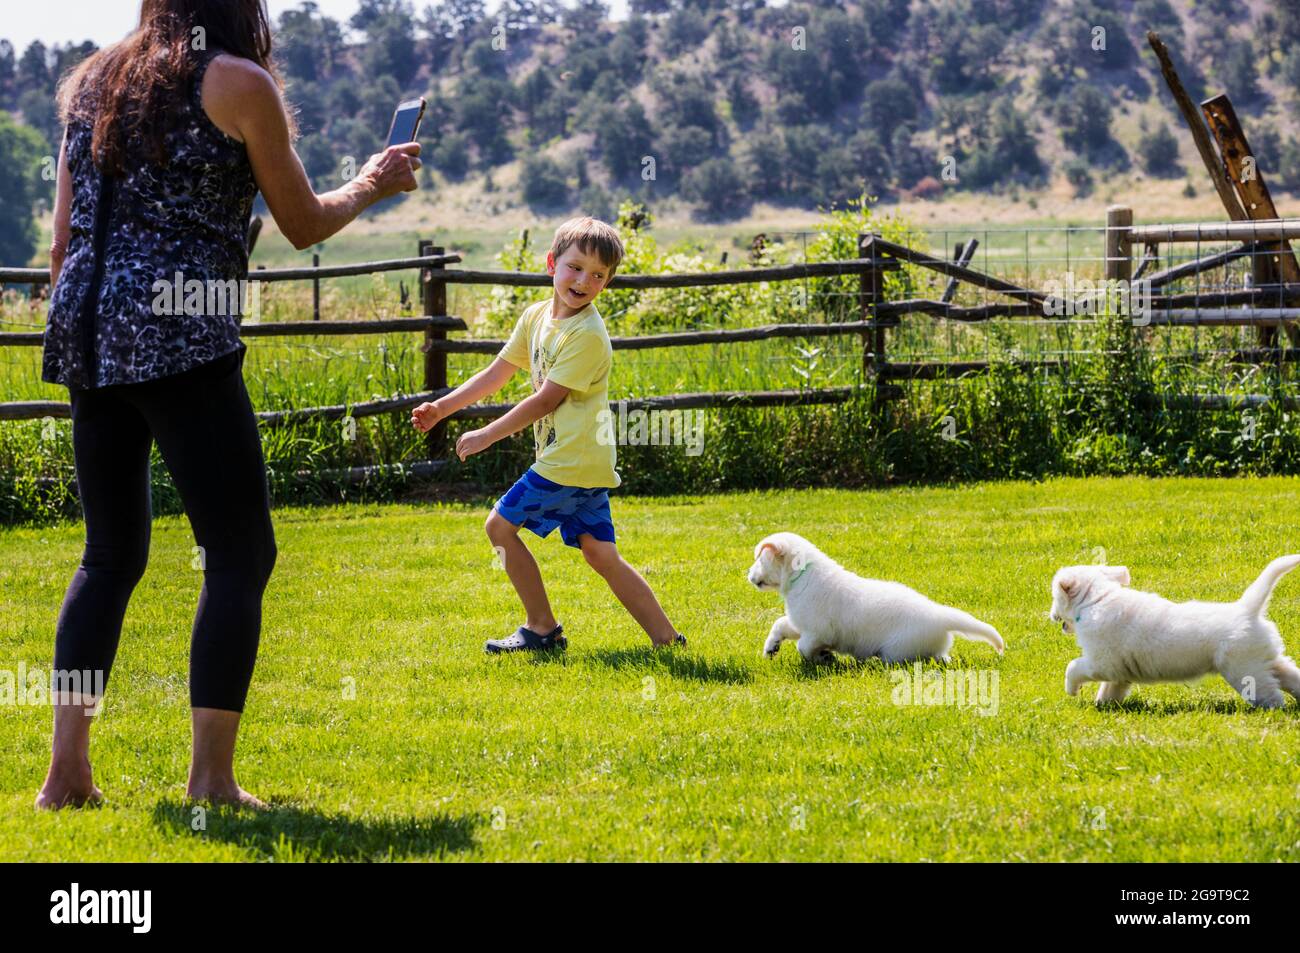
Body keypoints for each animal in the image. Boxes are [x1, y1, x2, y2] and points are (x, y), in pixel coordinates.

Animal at [743, 535, 1003, 660]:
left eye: (760, 559)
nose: (748, 575)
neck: (801, 574)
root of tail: (940, 615)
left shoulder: (819, 631)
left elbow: (804, 647)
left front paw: (825, 657)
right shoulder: (801, 623)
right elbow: (780, 624)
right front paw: (771, 647)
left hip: (898, 651)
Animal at [1050, 553, 1300, 702]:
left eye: (1054, 597)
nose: (1052, 616)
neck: (1096, 599)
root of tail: (1247, 610)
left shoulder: (1100, 662)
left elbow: (1073, 667)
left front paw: (1071, 690)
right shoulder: (1118, 671)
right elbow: (1111, 689)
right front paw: (1103, 706)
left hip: (1244, 669)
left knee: (1271, 695)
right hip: (1267, 658)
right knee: (1291, 677)